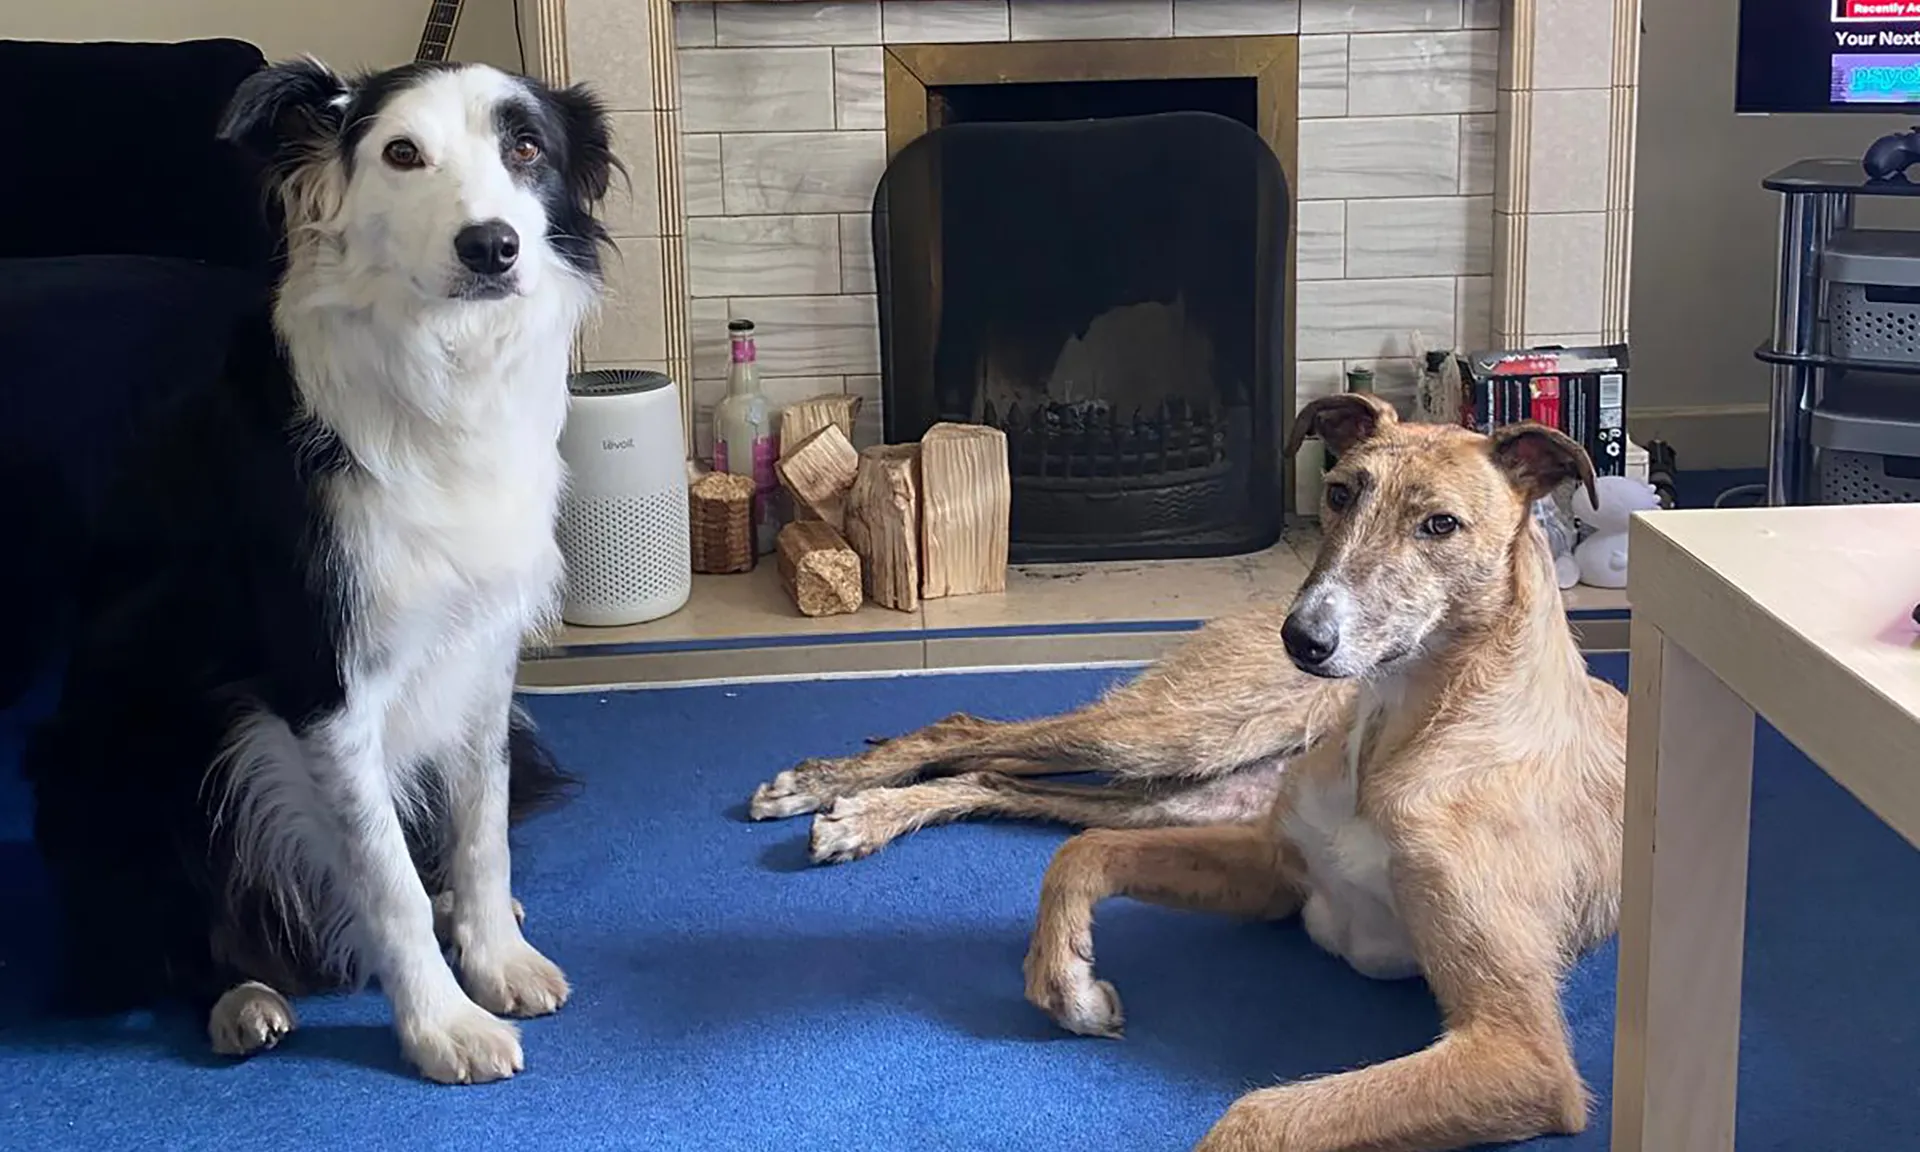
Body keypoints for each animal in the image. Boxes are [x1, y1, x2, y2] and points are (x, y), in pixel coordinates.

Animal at [26, 56, 618, 1082]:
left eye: (525, 147)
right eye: (402, 153)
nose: (491, 247)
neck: (439, 371)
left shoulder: (483, 652)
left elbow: (480, 828)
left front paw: (496, 957)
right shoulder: (324, 685)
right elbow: (386, 882)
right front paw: (443, 1026)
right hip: (111, 757)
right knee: (164, 934)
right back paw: (241, 998)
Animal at [748, 391, 1620, 1144]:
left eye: (1441, 524)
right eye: (1340, 493)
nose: (1304, 640)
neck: (1405, 728)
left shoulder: (1519, 1048)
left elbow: (1255, 1115)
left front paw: (1063, 976)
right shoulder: (1279, 872)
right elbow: (1078, 858)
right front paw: (1064, 978)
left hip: (1181, 794)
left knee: (1002, 780)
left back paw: (861, 813)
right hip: (1174, 736)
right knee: (970, 731)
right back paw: (831, 790)